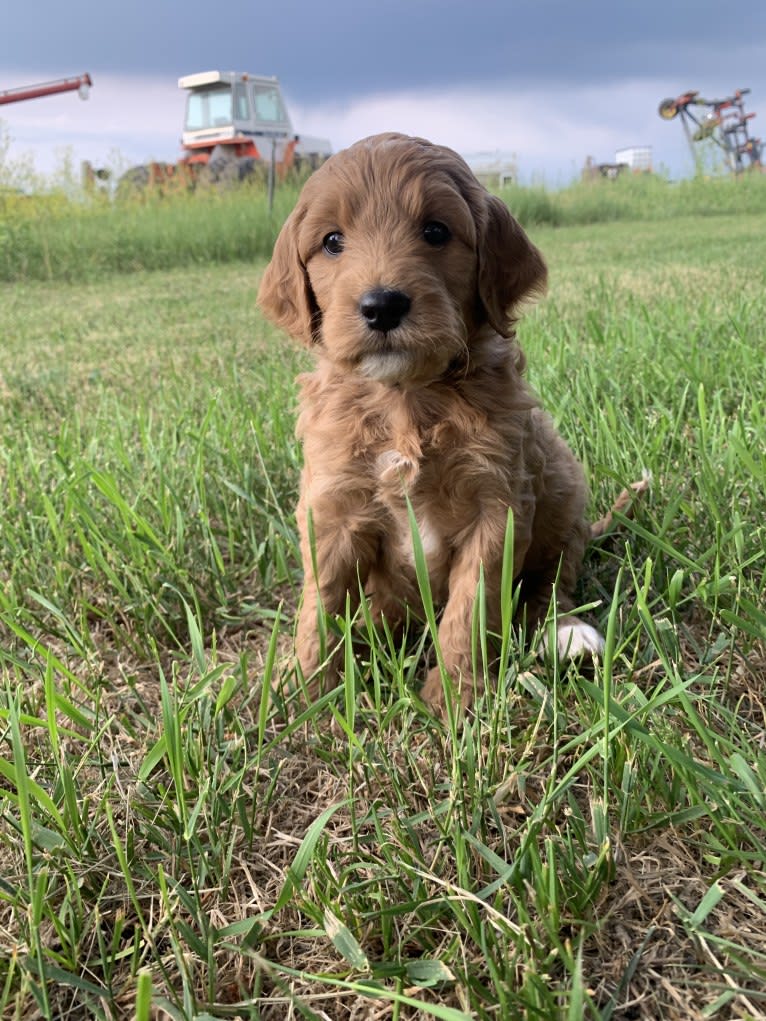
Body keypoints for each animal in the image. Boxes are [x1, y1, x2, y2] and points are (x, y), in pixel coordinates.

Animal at [259, 131, 604, 714]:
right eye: (332, 242)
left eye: (436, 231)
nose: (382, 305)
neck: (406, 399)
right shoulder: (333, 507)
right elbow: (319, 603)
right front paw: (305, 688)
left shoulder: (497, 506)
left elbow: (470, 607)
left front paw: (455, 698)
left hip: (563, 491)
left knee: (552, 584)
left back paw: (567, 633)